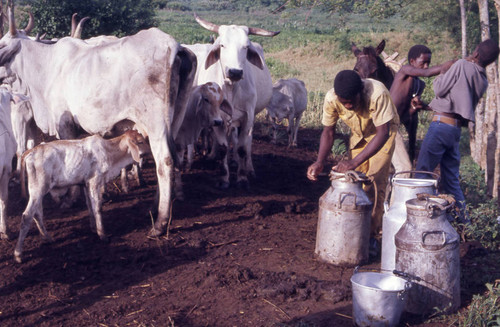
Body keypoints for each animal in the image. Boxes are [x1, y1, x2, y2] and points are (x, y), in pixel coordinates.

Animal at [0, 3, 197, 238]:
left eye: (2, 43)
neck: (44, 68)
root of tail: (174, 45)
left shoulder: (65, 123)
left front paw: (70, 199)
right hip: (174, 119)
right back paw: (153, 207)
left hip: (156, 123)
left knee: (165, 161)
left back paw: (160, 223)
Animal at [15, 131, 148, 264]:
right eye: (140, 141)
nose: (147, 152)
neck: (109, 151)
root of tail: (31, 151)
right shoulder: (94, 182)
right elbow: (97, 208)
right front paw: (102, 234)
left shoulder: (85, 184)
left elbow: (89, 206)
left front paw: (93, 228)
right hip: (38, 190)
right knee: (27, 216)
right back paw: (18, 254)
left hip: (37, 193)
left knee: (37, 214)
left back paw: (46, 237)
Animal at [184, 14, 280, 190]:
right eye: (222, 45)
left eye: (246, 47)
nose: (235, 72)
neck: (230, 89)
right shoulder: (218, 120)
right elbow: (223, 148)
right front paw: (224, 178)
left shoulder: (247, 118)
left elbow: (242, 148)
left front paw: (242, 178)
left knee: (247, 143)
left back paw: (249, 168)